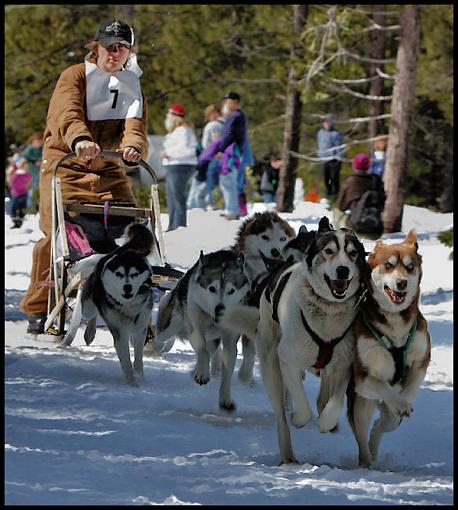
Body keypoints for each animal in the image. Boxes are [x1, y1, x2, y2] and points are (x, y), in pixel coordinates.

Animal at [81, 223, 155, 386]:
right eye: (119, 274)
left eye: (134, 274)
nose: (127, 287)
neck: (128, 307)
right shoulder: (120, 332)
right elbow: (126, 361)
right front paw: (133, 384)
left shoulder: (140, 329)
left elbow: (138, 359)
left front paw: (140, 377)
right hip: (87, 307)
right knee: (91, 314)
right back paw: (90, 332)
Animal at [221, 217, 364, 464]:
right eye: (328, 251)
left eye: (353, 253)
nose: (343, 270)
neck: (326, 313)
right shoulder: (288, 361)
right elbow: (302, 406)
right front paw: (299, 419)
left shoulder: (342, 368)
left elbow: (334, 403)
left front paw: (327, 422)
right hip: (271, 366)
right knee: (281, 416)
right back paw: (288, 455)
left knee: (321, 397)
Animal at [348, 230, 432, 466]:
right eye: (388, 265)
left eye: (410, 267)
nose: (401, 283)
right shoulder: (363, 377)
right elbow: (381, 384)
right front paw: (400, 404)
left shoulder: (421, 360)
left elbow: (410, 389)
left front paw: (403, 404)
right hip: (362, 404)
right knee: (362, 436)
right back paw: (366, 462)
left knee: (382, 424)